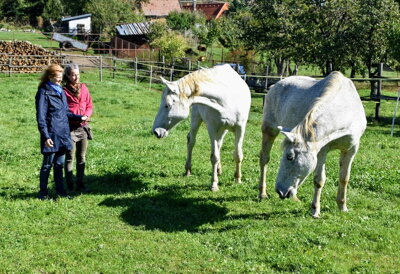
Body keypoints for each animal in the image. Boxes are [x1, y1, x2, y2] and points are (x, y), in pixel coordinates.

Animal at [260, 71, 366, 217]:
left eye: (290, 157)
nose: (280, 191)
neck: (346, 110)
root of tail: (276, 85)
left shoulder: (350, 150)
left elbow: (344, 178)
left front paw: (342, 206)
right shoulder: (321, 151)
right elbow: (319, 180)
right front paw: (315, 210)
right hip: (269, 131)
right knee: (264, 159)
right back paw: (262, 194)